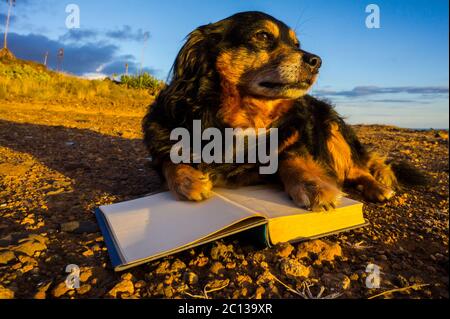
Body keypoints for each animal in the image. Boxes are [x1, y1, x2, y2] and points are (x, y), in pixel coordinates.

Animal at [143, 11, 418, 212]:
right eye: (263, 36)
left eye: (296, 44)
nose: (317, 61)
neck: (245, 116)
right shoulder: (162, 134)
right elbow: (168, 160)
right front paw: (188, 179)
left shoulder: (293, 139)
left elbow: (291, 158)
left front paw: (312, 185)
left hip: (332, 130)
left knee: (357, 169)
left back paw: (378, 188)